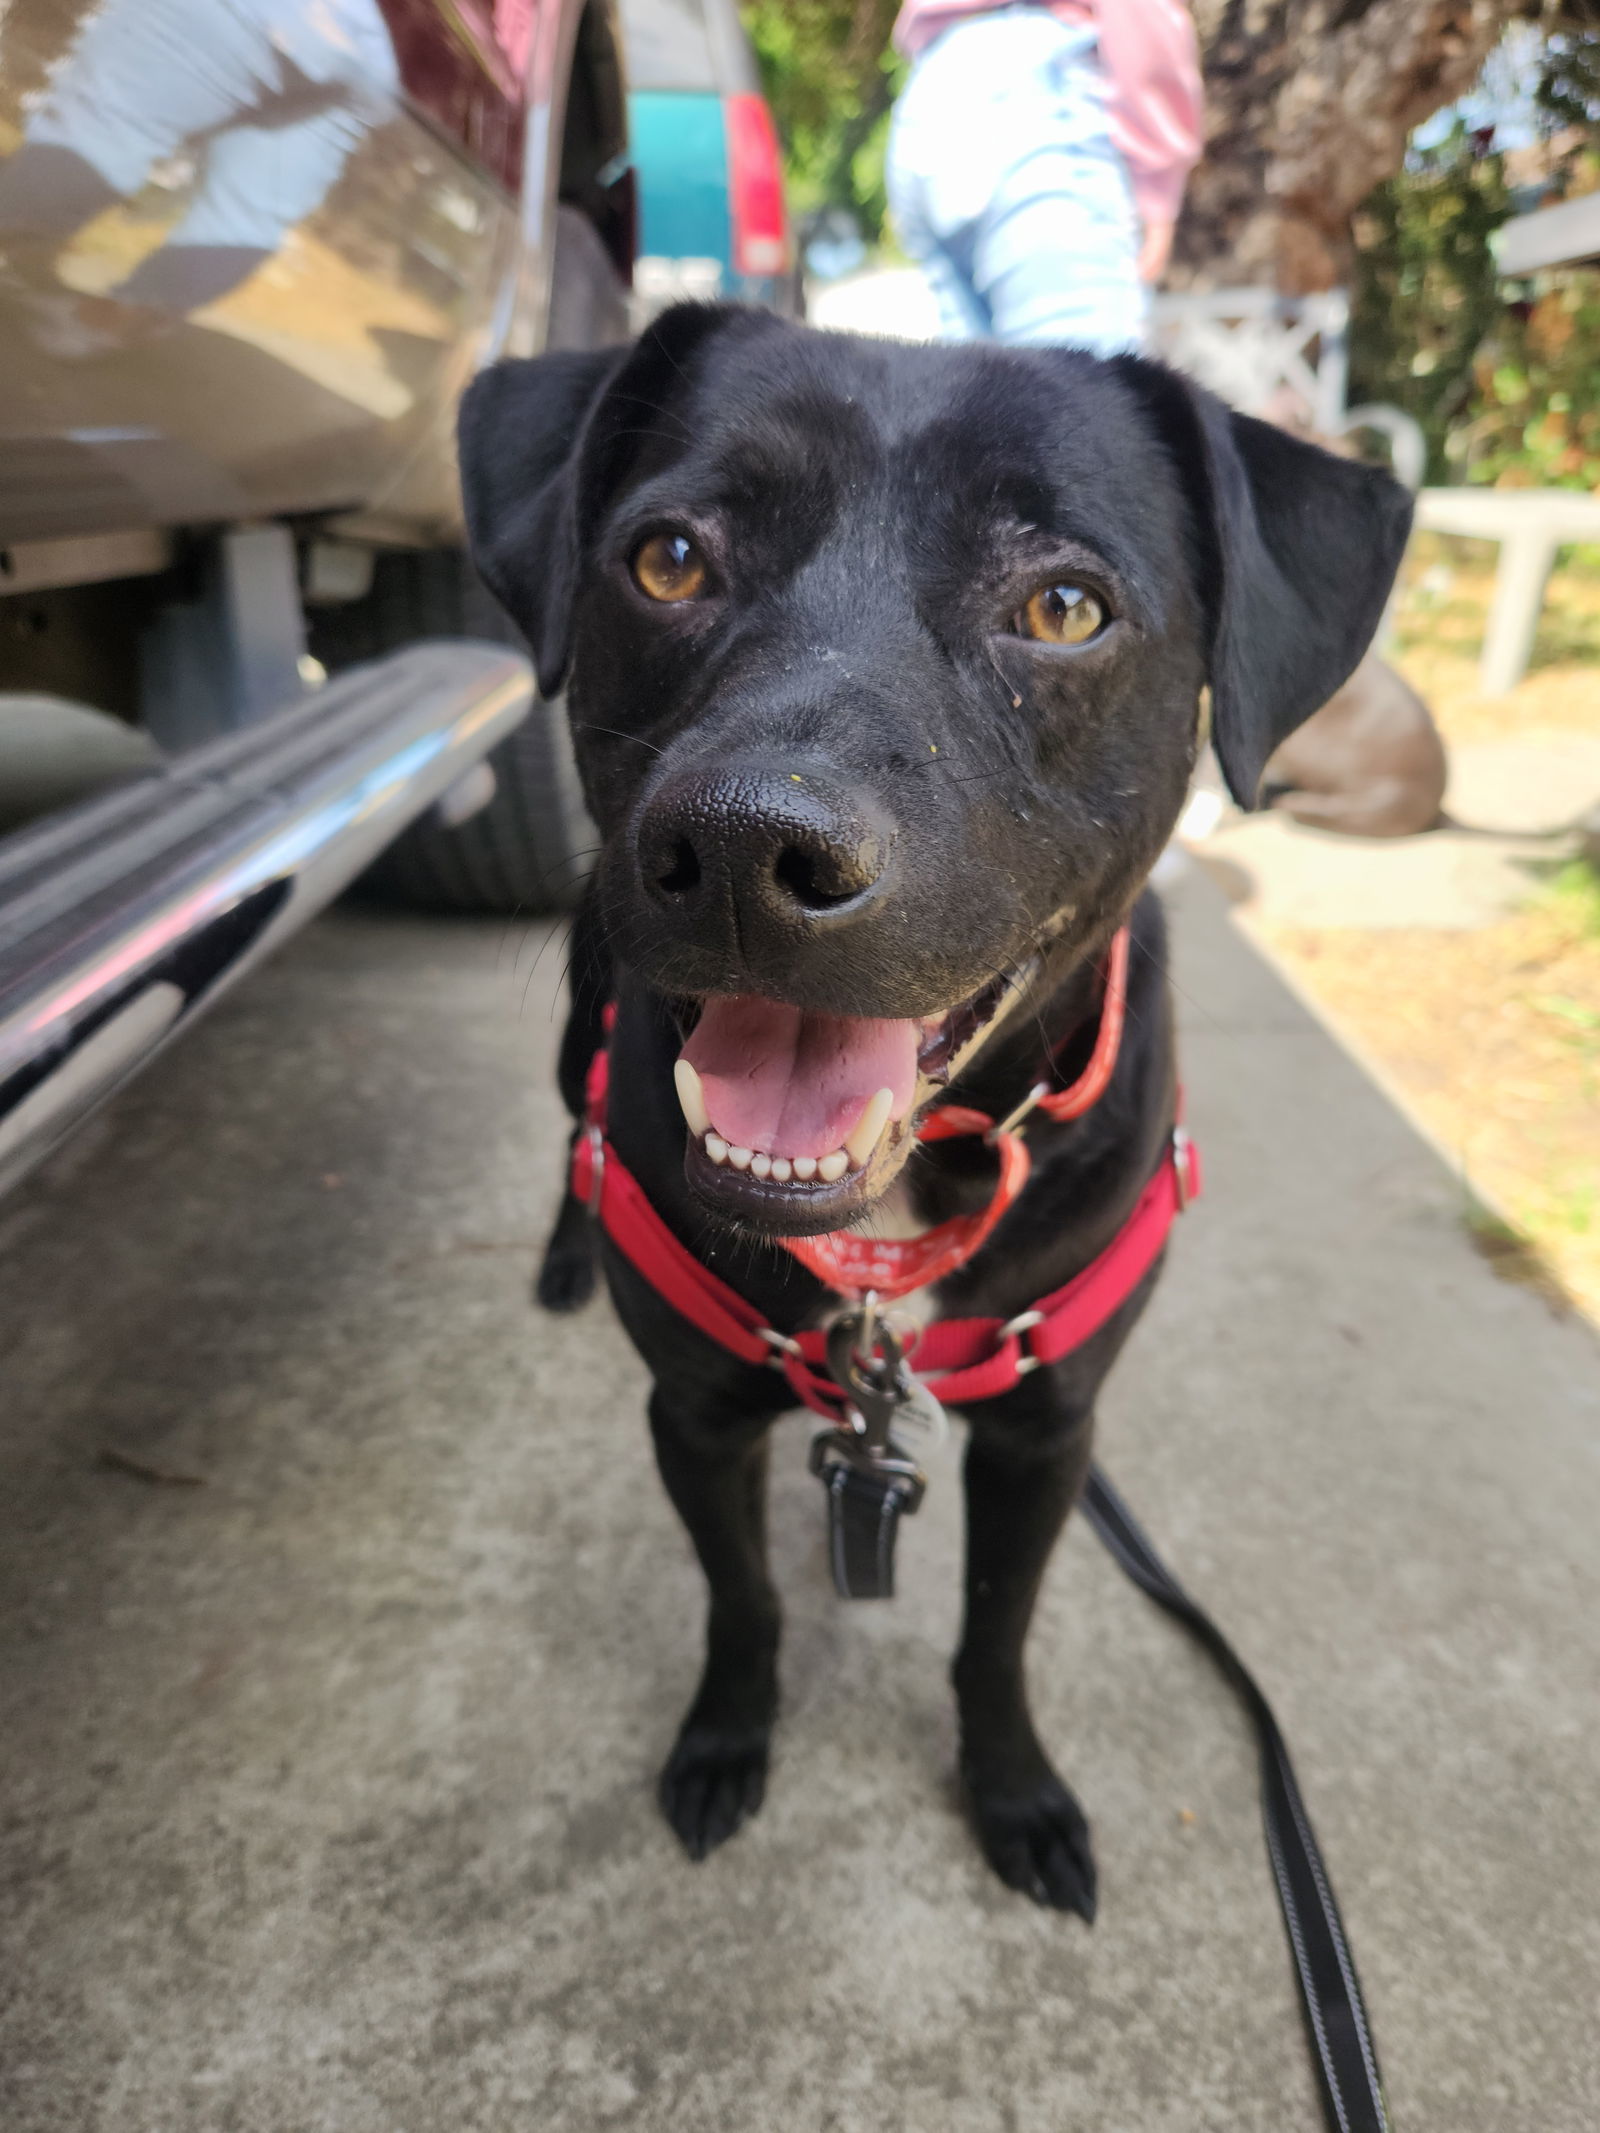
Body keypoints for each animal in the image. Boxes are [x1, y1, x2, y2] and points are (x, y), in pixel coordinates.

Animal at [456, 311, 1408, 1919]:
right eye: (668, 559)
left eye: (1067, 606)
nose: (742, 848)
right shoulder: (694, 1413)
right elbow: (745, 1600)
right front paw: (726, 1741)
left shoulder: (1048, 1432)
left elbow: (993, 1632)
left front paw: (1013, 1792)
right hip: (581, 1016)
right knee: (570, 1131)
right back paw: (572, 1248)